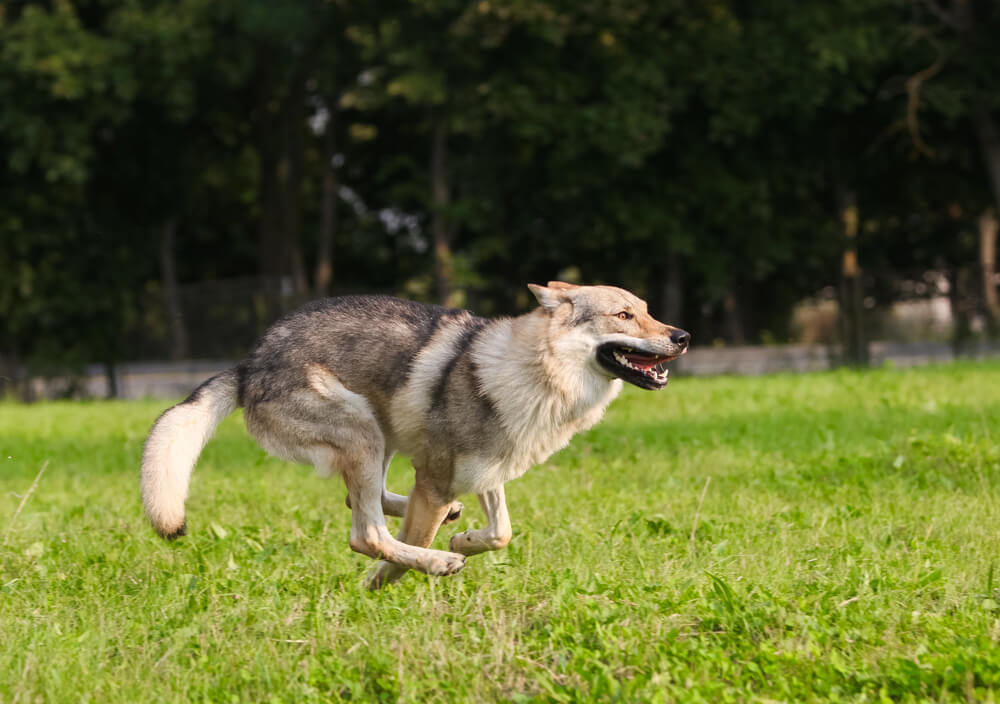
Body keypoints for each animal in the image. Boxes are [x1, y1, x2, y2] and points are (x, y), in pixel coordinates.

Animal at [141, 282, 690, 588]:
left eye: (647, 309)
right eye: (624, 316)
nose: (682, 336)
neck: (535, 374)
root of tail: (250, 363)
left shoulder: (486, 469)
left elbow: (501, 532)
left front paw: (465, 538)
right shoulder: (438, 478)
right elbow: (407, 543)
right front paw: (386, 582)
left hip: (379, 434)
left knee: (361, 502)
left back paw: (450, 521)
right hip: (363, 431)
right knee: (365, 532)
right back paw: (433, 560)